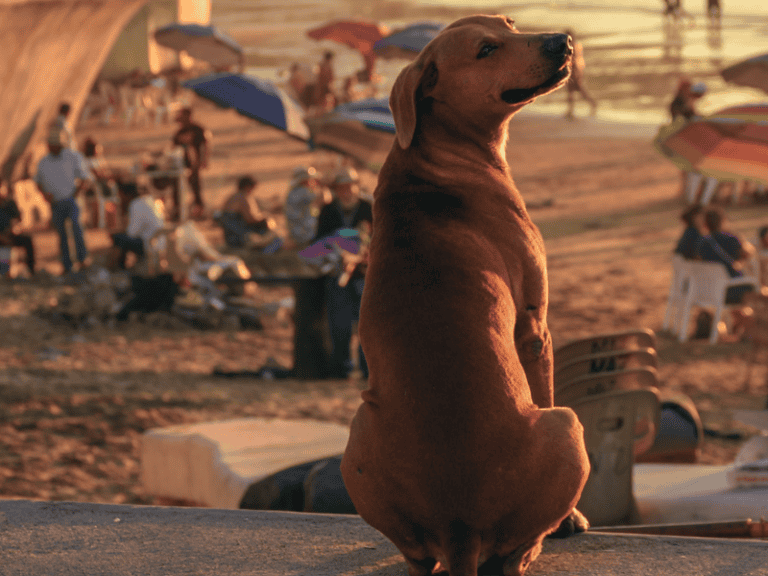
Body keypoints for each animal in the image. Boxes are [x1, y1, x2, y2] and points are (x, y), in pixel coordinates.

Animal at [340, 13, 588, 576]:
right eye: (486, 50)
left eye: (510, 23)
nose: (561, 40)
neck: (435, 155)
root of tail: (460, 529)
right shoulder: (534, 326)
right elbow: (541, 379)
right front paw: (572, 521)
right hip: (567, 426)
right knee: (512, 553)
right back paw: (538, 543)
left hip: (357, 435)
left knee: (415, 556)